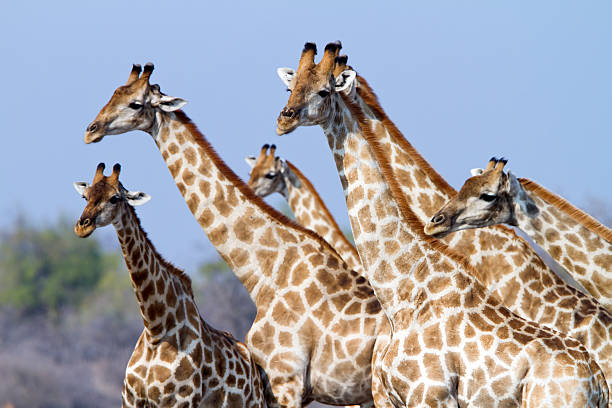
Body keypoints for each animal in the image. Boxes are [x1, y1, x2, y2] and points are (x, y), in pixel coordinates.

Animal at [73, 163, 264, 408]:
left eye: (115, 198)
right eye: (85, 196)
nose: (82, 226)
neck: (155, 329)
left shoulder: (180, 401)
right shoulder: (131, 401)